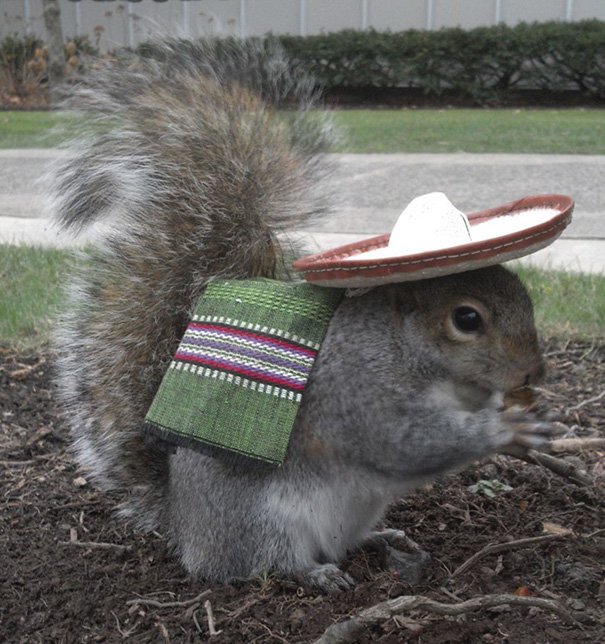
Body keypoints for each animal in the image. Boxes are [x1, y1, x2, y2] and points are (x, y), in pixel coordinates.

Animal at [52, 39, 557, 592]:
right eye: (467, 320)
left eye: (523, 293)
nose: (533, 372)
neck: (419, 357)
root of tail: (186, 531)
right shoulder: (361, 391)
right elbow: (404, 443)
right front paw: (504, 431)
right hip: (263, 519)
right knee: (268, 562)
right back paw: (316, 574)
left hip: (356, 510)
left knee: (346, 540)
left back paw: (382, 539)